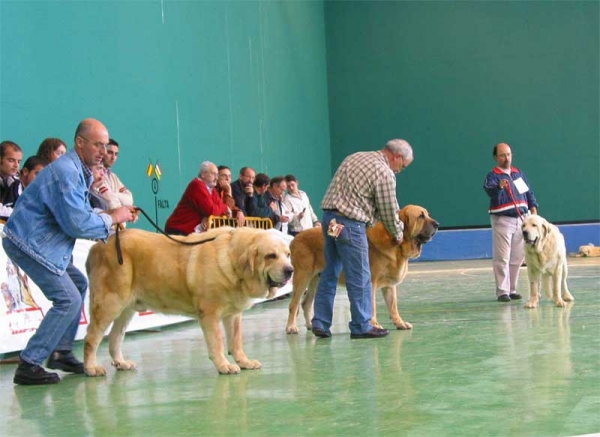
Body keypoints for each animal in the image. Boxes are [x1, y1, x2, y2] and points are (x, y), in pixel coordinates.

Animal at [82, 227, 292, 372]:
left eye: (288, 255)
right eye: (271, 256)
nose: (290, 270)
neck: (234, 262)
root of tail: (98, 245)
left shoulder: (233, 315)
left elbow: (236, 340)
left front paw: (244, 362)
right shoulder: (210, 313)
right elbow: (217, 341)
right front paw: (224, 365)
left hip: (126, 310)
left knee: (115, 337)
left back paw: (121, 363)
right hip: (109, 304)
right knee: (91, 338)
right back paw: (91, 368)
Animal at [286, 205, 436, 334]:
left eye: (427, 214)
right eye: (421, 216)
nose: (437, 224)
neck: (397, 245)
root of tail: (294, 238)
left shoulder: (389, 286)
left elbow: (393, 307)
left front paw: (400, 323)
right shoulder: (371, 282)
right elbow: (372, 306)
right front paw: (374, 325)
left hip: (316, 280)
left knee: (306, 304)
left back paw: (312, 326)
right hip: (302, 276)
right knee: (294, 304)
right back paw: (291, 327)